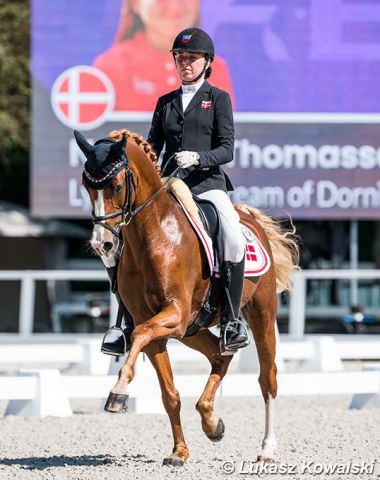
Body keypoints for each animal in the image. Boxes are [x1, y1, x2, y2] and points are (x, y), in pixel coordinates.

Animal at [75, 129, 298, 466]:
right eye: (88, 187)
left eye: (117, 186)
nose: (103, 244)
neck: (153, 235)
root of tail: (250, 218)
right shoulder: (156, 323)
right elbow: (169, 393)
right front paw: (179, 452)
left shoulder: (174, 314)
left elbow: (139, 336)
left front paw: (119, 392)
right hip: (192, 329)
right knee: (220, 356)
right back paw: (211, 422)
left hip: (261, 315)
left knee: (267, 379)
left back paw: (267, 449)